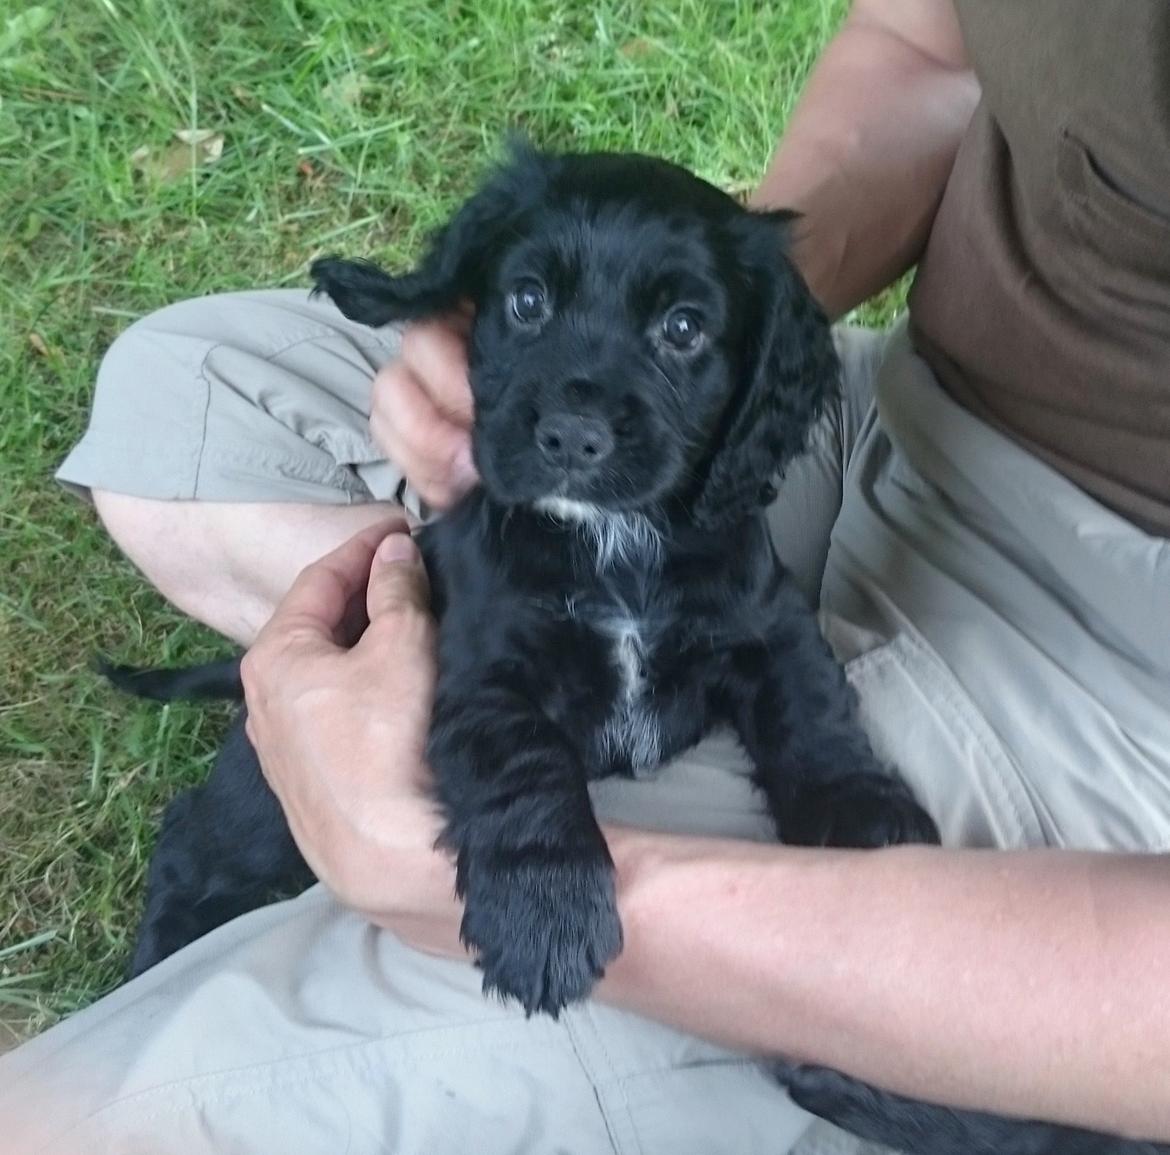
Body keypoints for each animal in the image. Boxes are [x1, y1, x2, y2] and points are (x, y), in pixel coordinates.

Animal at [107, 144, 1160, 1155]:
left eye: (685, 328)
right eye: (527, 301)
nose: (572, 434)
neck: (614, 538)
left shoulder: (769, 625)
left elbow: (818, 718)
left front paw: (868, 822)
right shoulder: (486, 673)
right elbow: (527, 771)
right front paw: (545, 919)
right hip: (270, 802)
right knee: (194, 836)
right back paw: (157, 953)